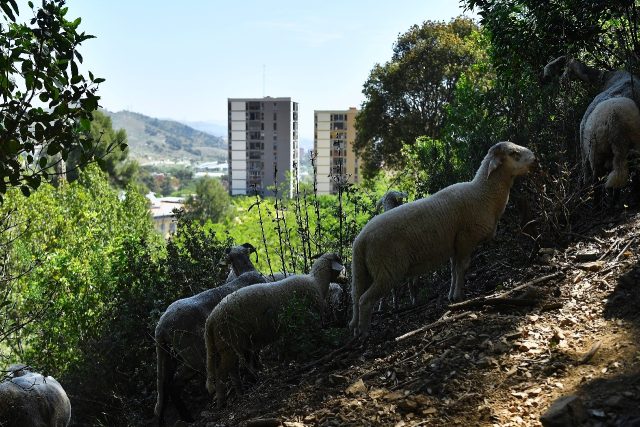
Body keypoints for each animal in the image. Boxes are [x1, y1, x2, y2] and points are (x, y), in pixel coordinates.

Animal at [154, 242, 266, 426]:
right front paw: (256, 374)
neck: (244, 272)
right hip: (193, 354)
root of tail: (160, 327)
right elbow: (252, 355)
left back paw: (177, 419)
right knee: (175, 384)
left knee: (165, 387)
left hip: (168, 356)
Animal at [205, 254, 344, 408]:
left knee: (232, 371)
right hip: (229, 343)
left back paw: (240, 392)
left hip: (229, 346)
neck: (316, 282)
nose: (345, 280)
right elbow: (309, 341)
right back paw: (222, 401)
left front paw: (288, 362)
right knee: (221, 373)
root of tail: (211, 319)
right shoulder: (309, 320)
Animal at [350, 141, 536, 338]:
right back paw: (364, 333)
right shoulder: (466, 239)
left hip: (361, 271)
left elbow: (454, 270)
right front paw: (459, 296)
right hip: (388, 268)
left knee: (356, 296)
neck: (483, 194)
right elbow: (462, 268)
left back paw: (355, 329)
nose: (535, 159)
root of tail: (360, 241)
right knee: (365, 300)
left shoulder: (456, 244)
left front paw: (451, 295)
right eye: (513, 153)